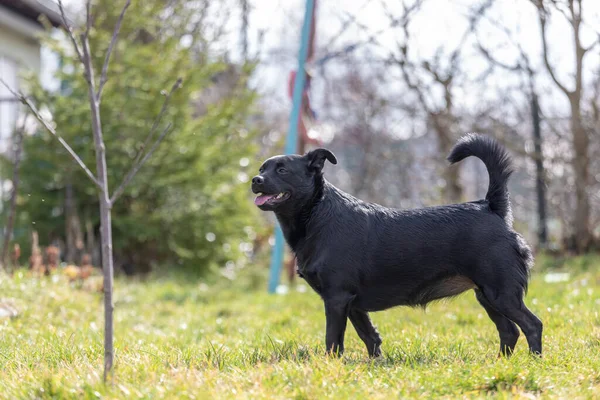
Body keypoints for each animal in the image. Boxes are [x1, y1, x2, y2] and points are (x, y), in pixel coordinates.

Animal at [251, 134, 540, 356]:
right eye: (262, 169)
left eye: (282, 170)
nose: (255, 180)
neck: (318, 213)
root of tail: (490, 206)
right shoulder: (352, 304)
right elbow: (370, 337)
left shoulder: (336, 298)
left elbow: (333, 341)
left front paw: (330, 367)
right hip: (486, 295)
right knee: (509, 331)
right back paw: (501, 363)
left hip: (501, 293)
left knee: (532, 325)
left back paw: (532, 362)